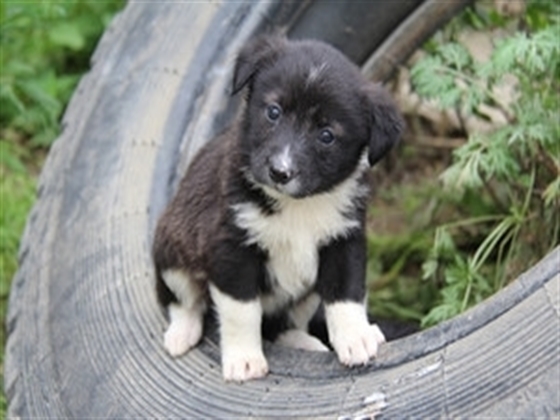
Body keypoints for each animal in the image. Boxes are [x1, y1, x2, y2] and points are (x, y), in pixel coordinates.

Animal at [152, 36, 402, 382]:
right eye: (273, 112)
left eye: (327, 135)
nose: (280, 172)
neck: (299, 207)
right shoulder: (231, 247)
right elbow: (242, 310)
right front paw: (244, 359)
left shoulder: (344, 240)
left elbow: (346, 293)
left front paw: (356, 337)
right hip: (172, 251)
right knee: (181, 300)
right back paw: (182, 333)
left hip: (306, 294)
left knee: (279, 324)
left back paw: (304, 342)